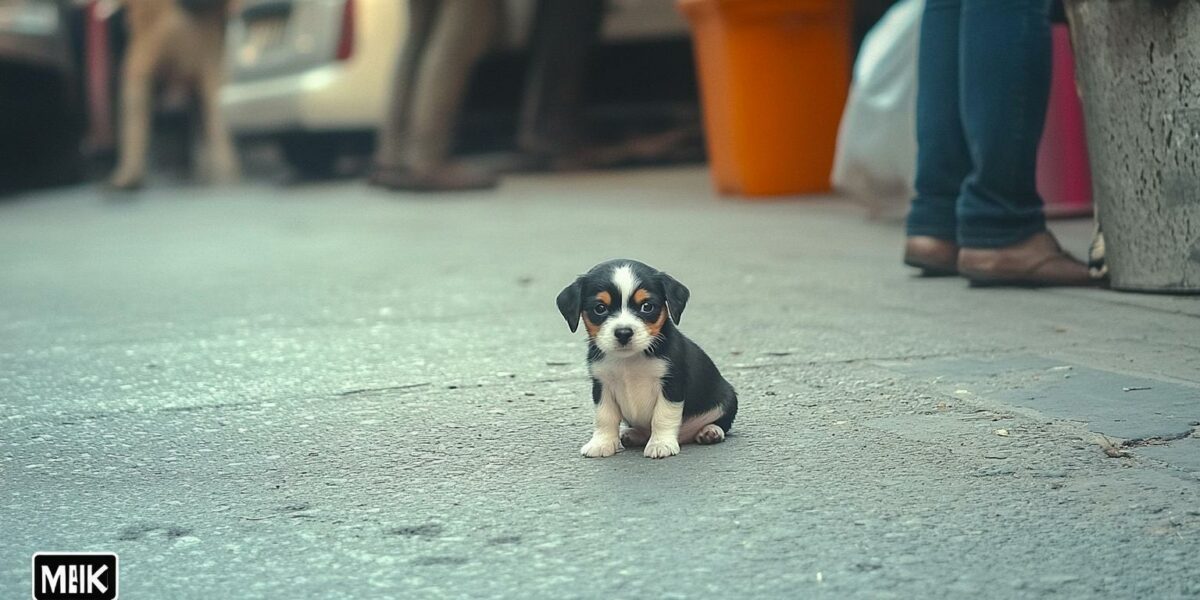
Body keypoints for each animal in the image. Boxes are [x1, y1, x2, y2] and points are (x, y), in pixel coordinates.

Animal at [556, 258, 734, 458]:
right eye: (600, 308)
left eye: (646, 306)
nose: (623, 333)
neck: (629, 360)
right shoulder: (602, 385)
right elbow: (605, 417)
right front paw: (602, 443)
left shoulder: (671, 384)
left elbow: (662, 417)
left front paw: (661, 444)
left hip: (728, 398)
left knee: (722, 422)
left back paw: (710, 431)